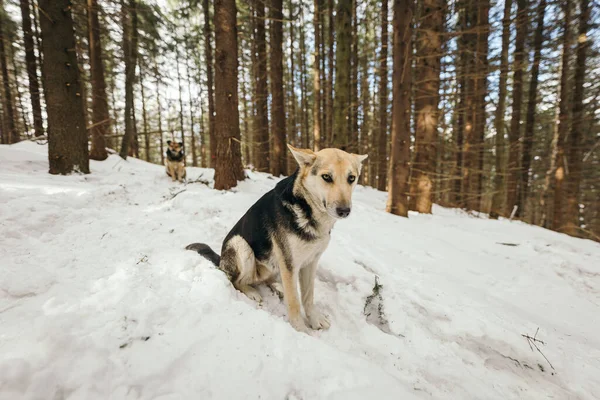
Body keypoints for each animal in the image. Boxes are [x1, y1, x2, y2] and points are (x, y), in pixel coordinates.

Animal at [188, 144, 366, 332]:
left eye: (351, 178)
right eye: (326, 177)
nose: (344, 211)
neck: (308, 210)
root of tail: (221, 259)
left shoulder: (310, 262)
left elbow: (308, 297)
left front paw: (314, 319)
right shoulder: (289, 264)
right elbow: (294, 302)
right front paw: (301, 331)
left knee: (269, 280)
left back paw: (278, 287)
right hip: (241, 245)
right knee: (237, 281)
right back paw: (252, 292)